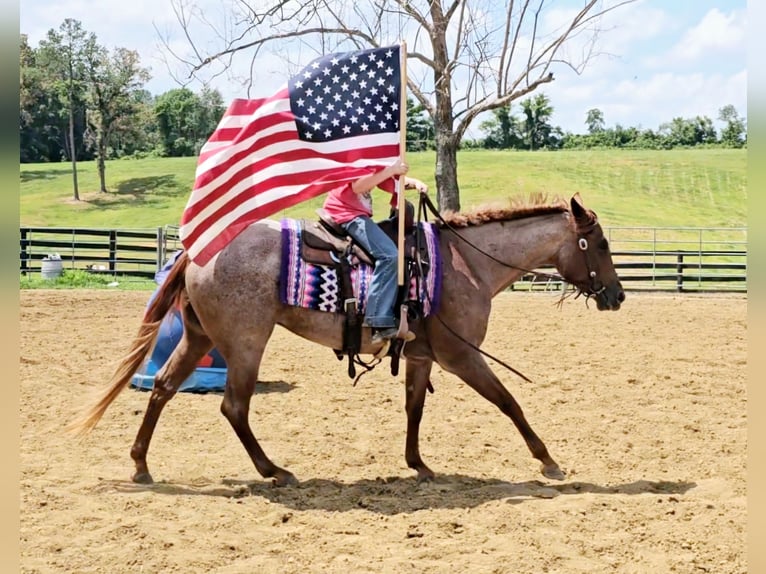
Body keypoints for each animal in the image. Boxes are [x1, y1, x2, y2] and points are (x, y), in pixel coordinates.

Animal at [70, 194, 624, 486]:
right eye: (599, 243)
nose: (617, 295)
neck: (466, 264)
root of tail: (196, 249)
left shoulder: (422, 356)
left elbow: (415, 408)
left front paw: (419, 464)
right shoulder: (461, 356)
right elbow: (509, 402)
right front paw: (547, 460)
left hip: (198, 336)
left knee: (163, 388)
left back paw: (141, 465)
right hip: (245, 341)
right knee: (234, 406)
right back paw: (273, 470)